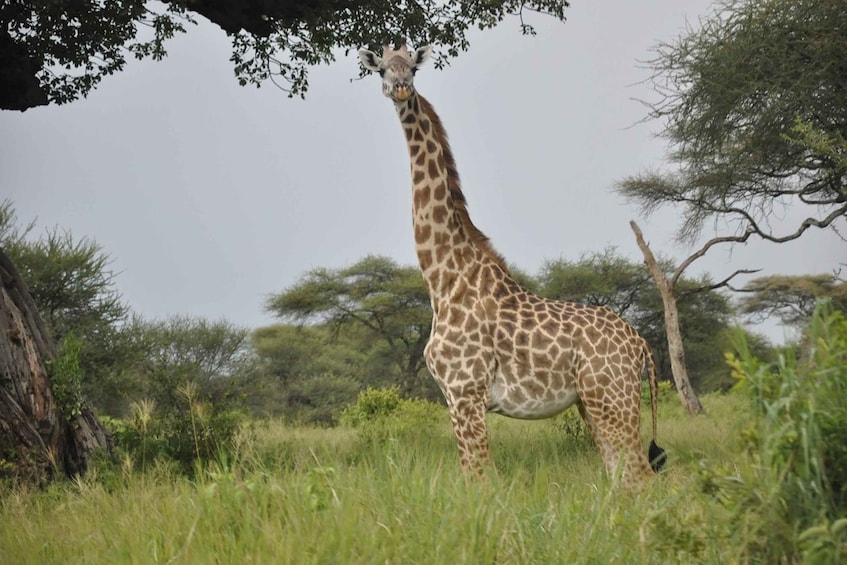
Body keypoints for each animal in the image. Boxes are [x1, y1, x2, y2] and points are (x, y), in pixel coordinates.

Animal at [360, 43, 668, 484]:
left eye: (413, 68)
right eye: (382, 69)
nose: (400, 88)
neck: (444, 280)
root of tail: (641, 344)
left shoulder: (464, 392)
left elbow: (478, 478)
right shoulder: (457, 397)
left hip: (612, 397)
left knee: (640, 477)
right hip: (592, 402)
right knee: (622, 476)